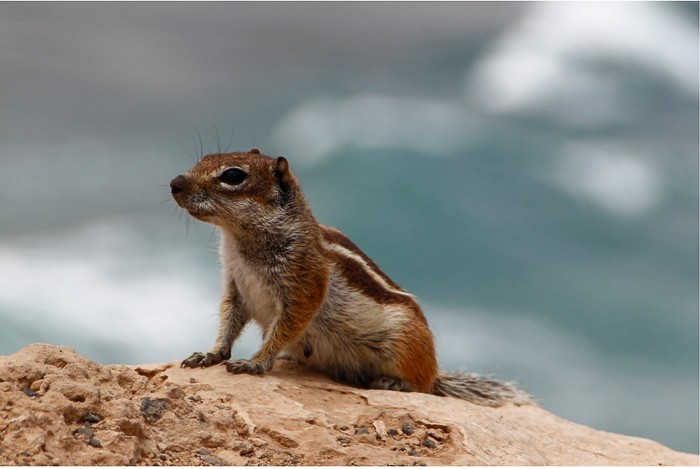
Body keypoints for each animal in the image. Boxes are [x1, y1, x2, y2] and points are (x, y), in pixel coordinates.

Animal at [170, 148, 531, 407]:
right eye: (203, 158)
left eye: (233, 175)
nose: (175, 183)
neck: (240, 241)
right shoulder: (236, 286)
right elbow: (228, 322)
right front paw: (210, 354)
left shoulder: (305, 284)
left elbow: (285, 326)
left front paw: (255, 363)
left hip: (405, 344)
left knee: (423, 386)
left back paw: (393, 382)